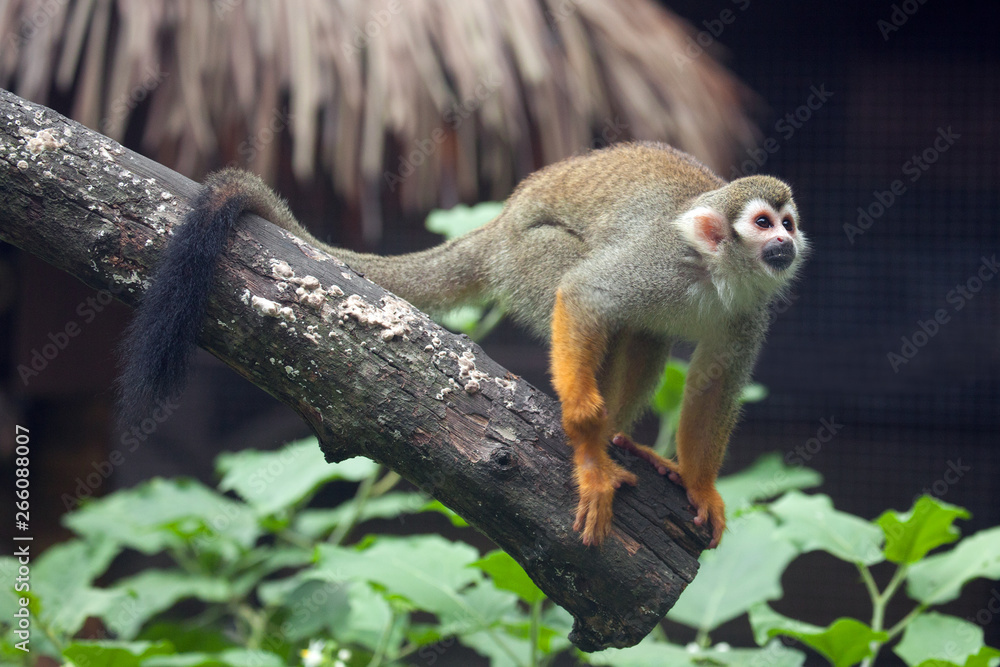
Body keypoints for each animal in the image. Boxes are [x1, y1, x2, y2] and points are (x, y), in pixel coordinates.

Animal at [119, 141, 807, 549]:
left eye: (789, 223)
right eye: (761, 223)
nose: (787, 244)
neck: (715, 275)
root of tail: (495, 225)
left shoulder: (750, 313)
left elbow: (715, 383)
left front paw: (699, 484)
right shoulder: (659, 263)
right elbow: (586, 295)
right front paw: (587, 449)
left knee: (644, 334)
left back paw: (626, 438)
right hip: (523, 261)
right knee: (584, 290)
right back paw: (604, 436)